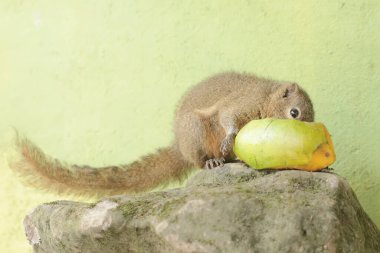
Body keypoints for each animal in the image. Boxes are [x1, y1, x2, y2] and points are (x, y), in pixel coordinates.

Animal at [8, 72, 314, 197]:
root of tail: (179, 145)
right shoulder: (244, 104)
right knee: (200, 158)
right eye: (294, 113)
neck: (267, 98)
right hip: (195, 131)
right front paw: (230, 136)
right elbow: (229, 120)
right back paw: (212, 161)